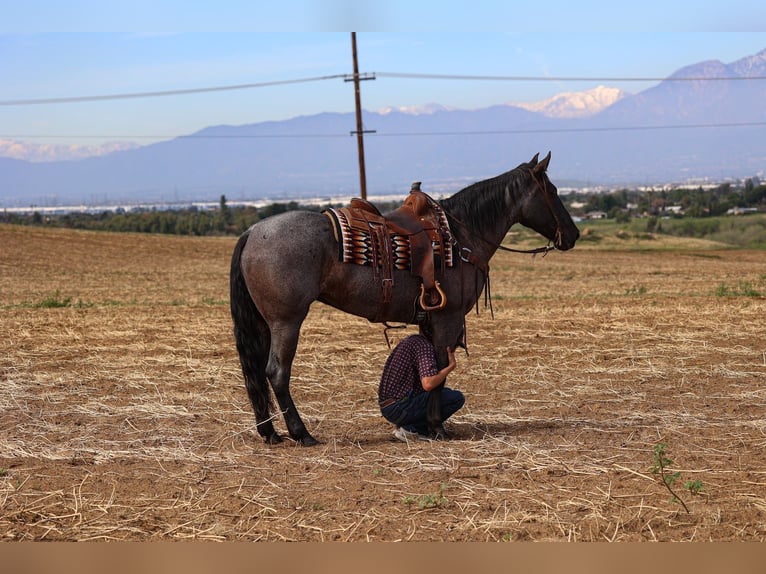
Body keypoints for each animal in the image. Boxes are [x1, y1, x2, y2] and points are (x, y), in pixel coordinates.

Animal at [229, 151, 580, 446]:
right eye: (552, 191)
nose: (573, 235)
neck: (461, 237)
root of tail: (252, 232)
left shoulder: (431, 319)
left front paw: (427, 425)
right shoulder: (448, 318)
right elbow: (439, 370)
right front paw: (437, 426)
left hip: (265, 323)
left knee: (257, 372)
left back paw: (270, 433)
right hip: (286, 321)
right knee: (277, 372)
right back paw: (301, 434)